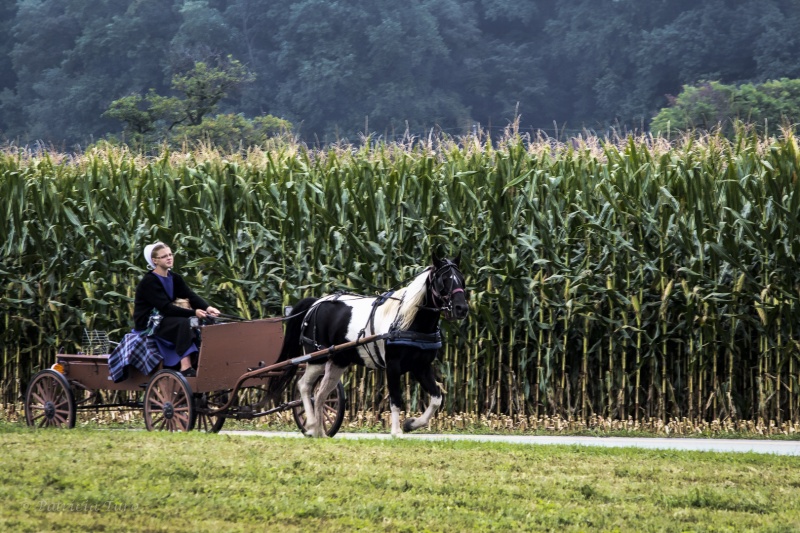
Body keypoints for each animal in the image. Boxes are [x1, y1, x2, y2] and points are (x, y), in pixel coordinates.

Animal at [276, 254, 468, 436]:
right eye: (443, 280)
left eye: (462, 278)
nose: (462, 308)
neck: (408, 322)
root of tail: (315, 304)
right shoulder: (393, 366)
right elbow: (395, 399)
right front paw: (396, 432)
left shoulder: (422, 367)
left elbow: (436, 398)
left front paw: (411, 424)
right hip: (317, 359)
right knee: (304, 386)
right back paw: (311, 425)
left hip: (338, 362)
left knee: (320, 394)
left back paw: (320, 433)